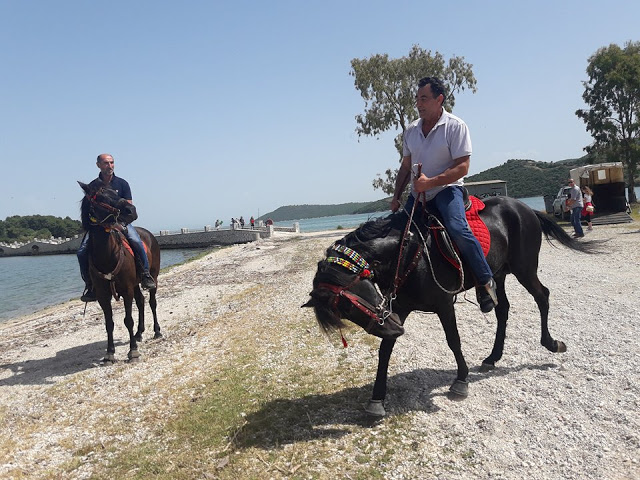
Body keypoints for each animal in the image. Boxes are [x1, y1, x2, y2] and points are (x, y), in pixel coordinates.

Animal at [79, 182, 162, 362]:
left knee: (152, 302)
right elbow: (109, 323)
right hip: (136, 284)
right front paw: (110, 352)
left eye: (115, 192)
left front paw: (133, 351)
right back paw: (139, 333)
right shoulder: (103, 295)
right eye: (100, 197)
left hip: (153, 277)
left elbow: (128, 320)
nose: (131, 210)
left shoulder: (126, 290)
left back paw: (157, 331)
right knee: (141, 301)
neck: (107, 255)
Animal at [304, 195, 596, 416]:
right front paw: (377, 398)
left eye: (348, 304)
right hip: (498, 273)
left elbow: (453, 341)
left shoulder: (443, 304)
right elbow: (385, 350)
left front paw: (461, 381)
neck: (407, 250)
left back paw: (551, 343)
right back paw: (493, 357)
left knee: (542, 296)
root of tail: (525, 208)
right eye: (344, 312)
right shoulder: (398, 310)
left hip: (524, 269)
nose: (393, 329)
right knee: (503, 309)